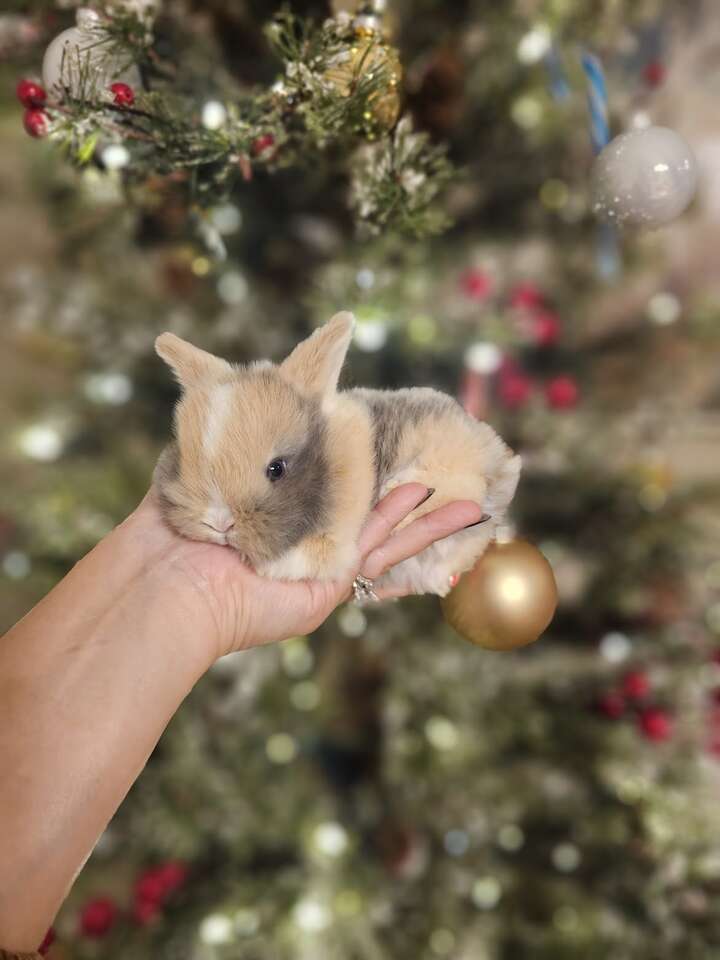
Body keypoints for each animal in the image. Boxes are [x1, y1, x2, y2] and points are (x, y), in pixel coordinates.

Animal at [155, 316, 520, 596]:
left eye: (276, 468)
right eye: (184, 462)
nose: (219, 522)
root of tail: (503, 459)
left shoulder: (336, 538)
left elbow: (311, 558)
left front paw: (269, 564)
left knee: (467, 488)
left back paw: (402, 488)